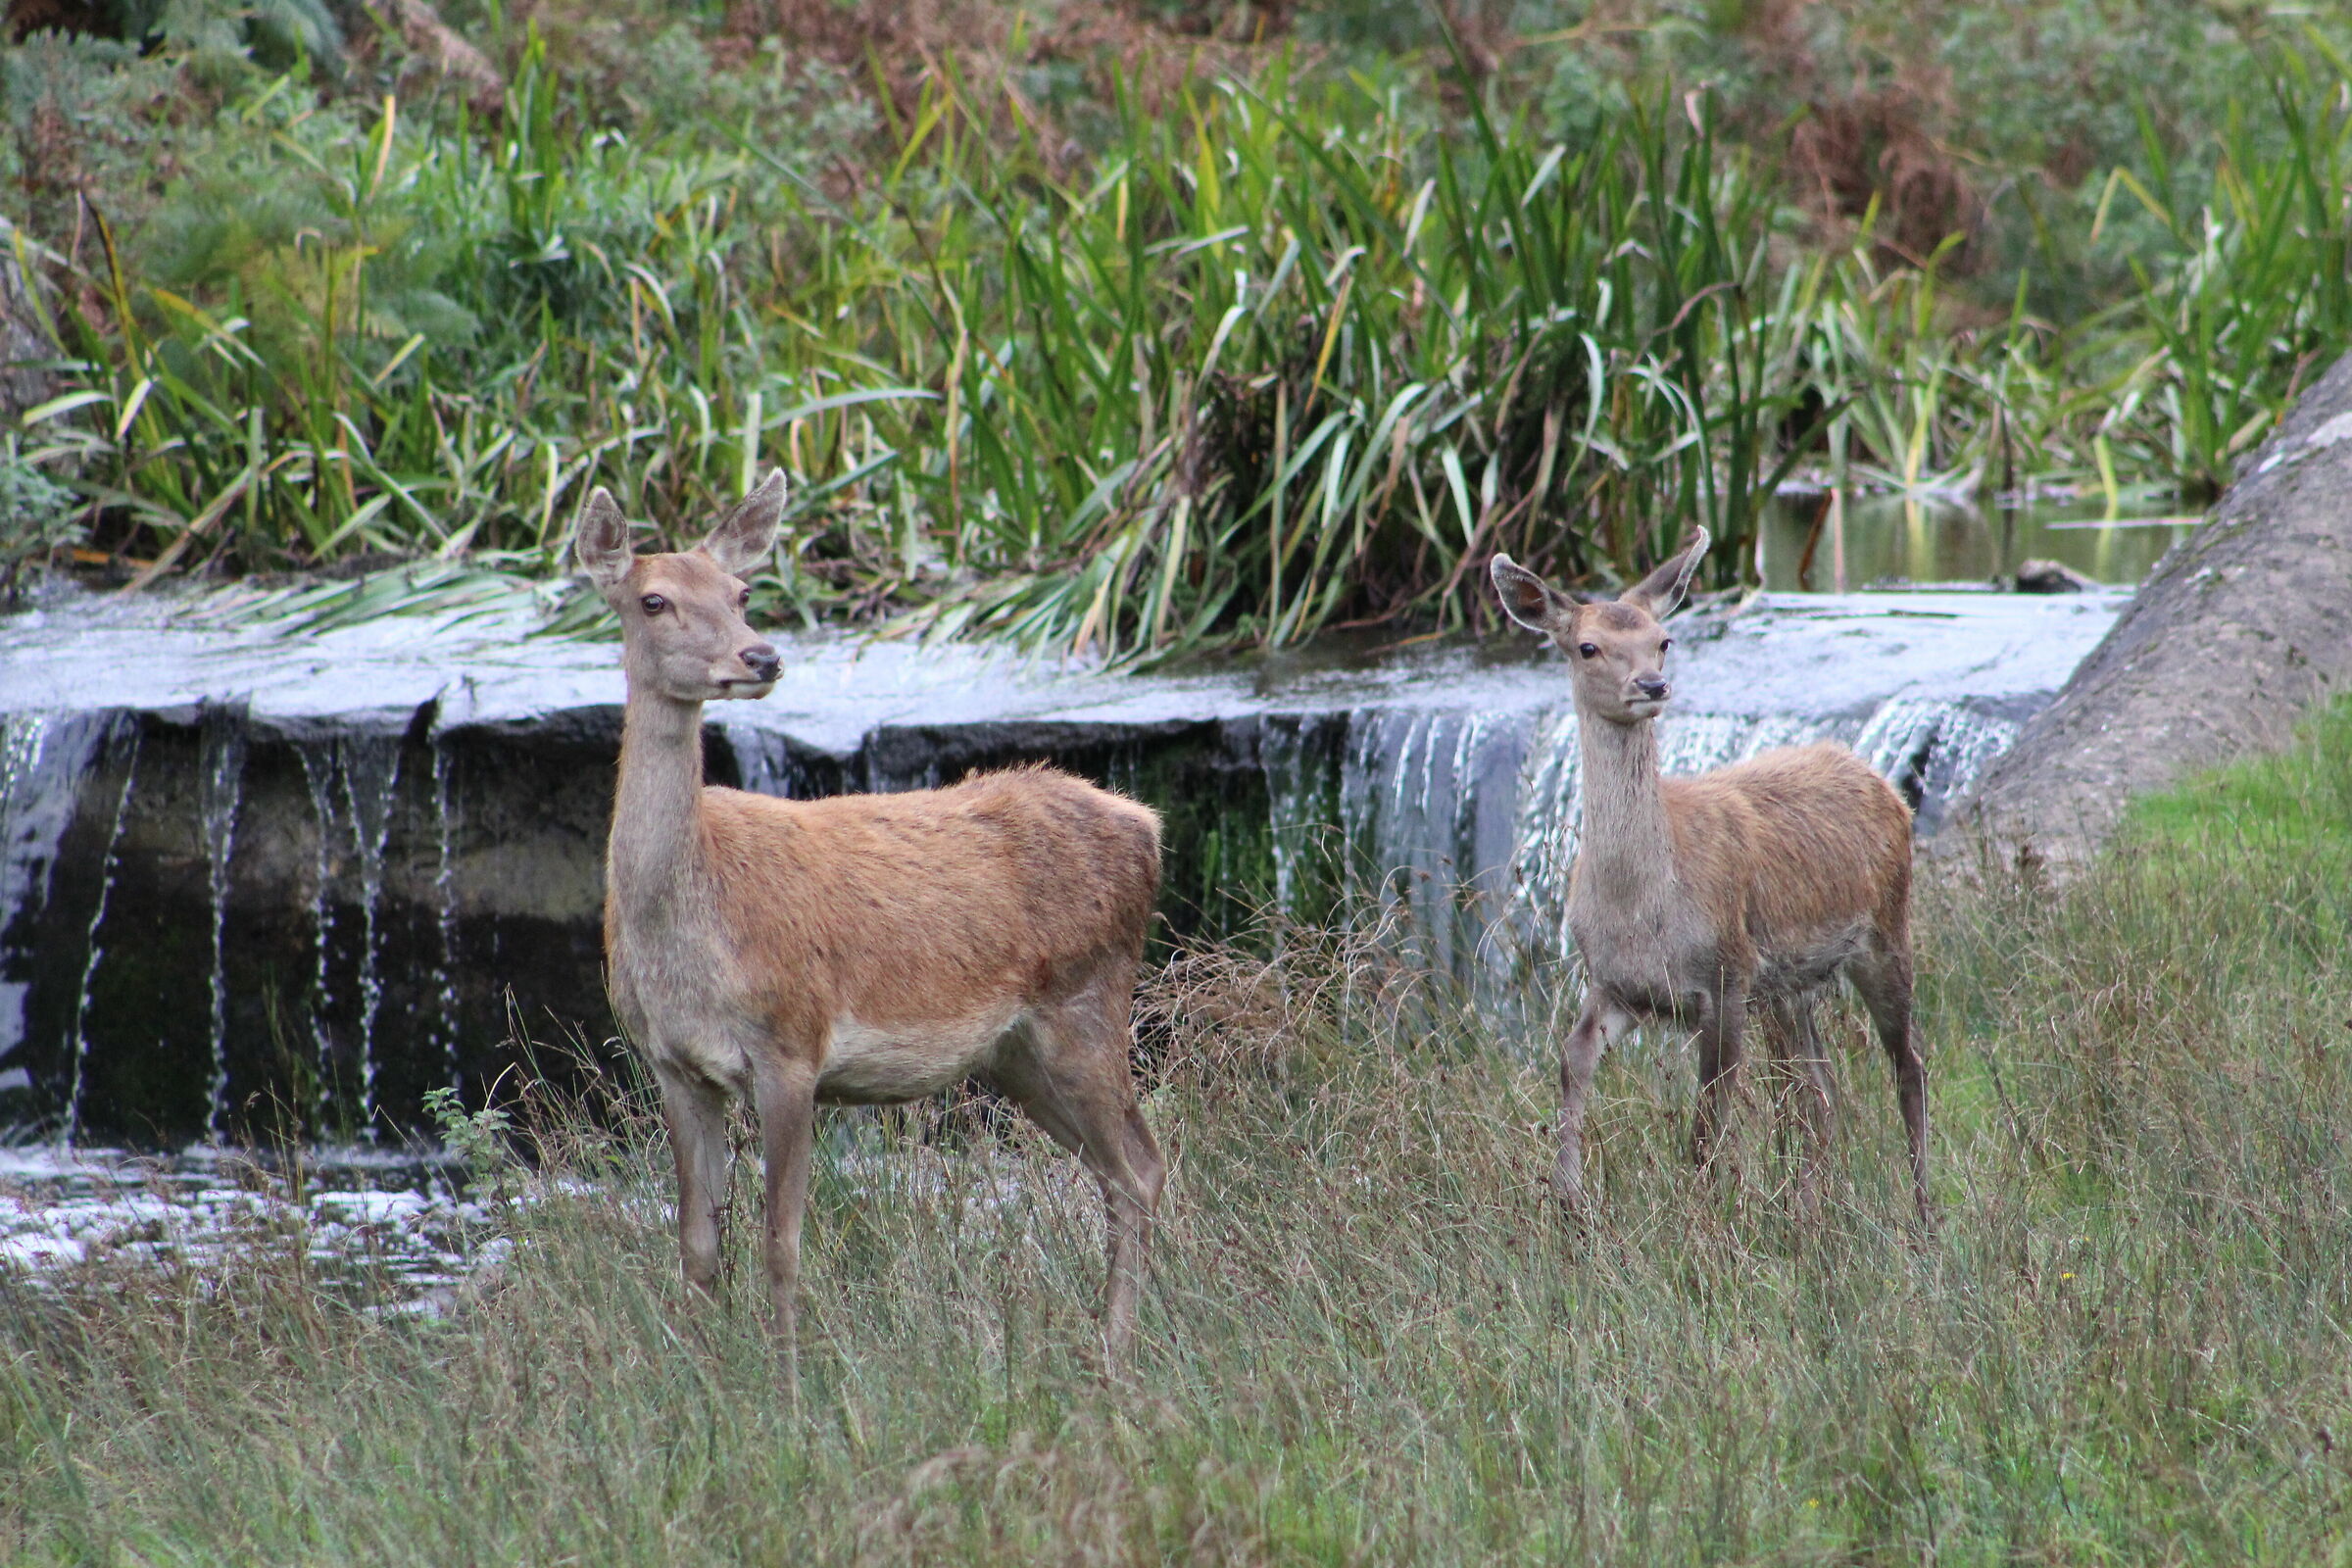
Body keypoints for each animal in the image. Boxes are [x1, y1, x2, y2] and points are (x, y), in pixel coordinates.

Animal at [571, 473, 1169, 1384]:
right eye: (654, 599)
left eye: (742, 593)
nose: (760, 657)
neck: (694, 931)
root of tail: (1148, 826)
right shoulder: (673, 1063)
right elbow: (697, 1248)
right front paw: (704, 1388)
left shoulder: (791, 1042)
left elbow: (781, 1243)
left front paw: (786, 1389)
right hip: (1015, 1053)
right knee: (1120, 1169)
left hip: (1087, 1003)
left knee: (1137, 1168)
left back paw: (1120, 1355)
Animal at [1489, 527, 1929, 1222]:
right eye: (1588, 646)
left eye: (1663, 639)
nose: (1651, 685)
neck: (1642, 907)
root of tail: (1884, 784)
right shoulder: (1615, 982)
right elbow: (1571, 1061)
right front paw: (1568, 1199)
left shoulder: (1725, 975)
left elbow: (1705, 1126)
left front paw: (1706, 1215)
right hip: (1790, 984)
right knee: (1819, 1089)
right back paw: (1811, 1212)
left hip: (1886, 930)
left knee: (1907, 1064)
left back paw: (1920, 1214)